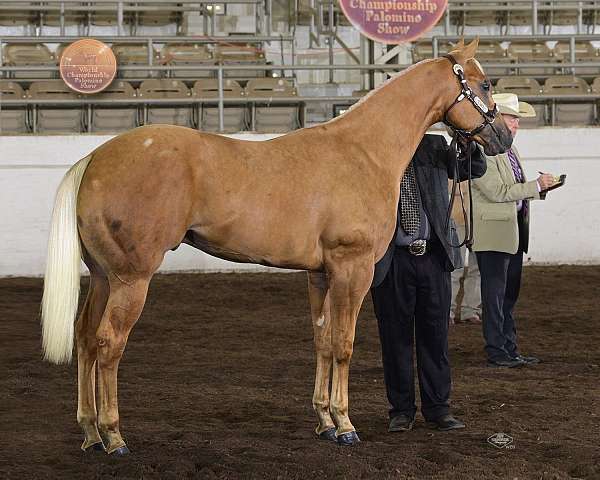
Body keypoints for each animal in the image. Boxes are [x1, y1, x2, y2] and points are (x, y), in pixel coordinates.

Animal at [41, 38, 510, 454]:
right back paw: (113, 436)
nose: (503, 138)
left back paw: (90, 432)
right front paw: (345, 425)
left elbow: (323, 341)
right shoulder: (352, 269)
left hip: (103, 276)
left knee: (85, 338)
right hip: (131, 278)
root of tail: (94, 159)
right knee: (108, 344)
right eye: (485, 84)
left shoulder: (320, 274)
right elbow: (344, 344)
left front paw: (324, 421)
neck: (363, 151)